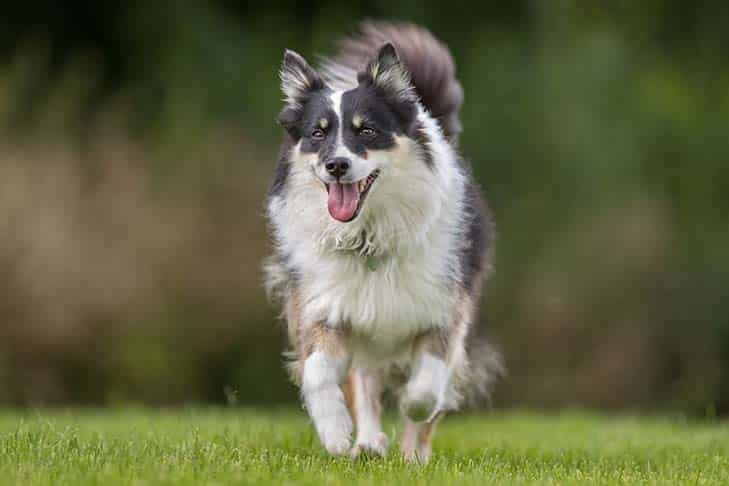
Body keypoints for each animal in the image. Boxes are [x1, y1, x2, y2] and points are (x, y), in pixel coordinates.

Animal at [264, 21, 500, 464]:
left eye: (367, 130)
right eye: (317, 134)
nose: (336, 165)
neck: (368, 236)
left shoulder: (443, 310)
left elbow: (427, 388)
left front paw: (411, 408)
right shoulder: (324, 303)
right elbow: (319, 372)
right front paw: (336, 434)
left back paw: (412, 456)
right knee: (365, 381)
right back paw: (368, 443)